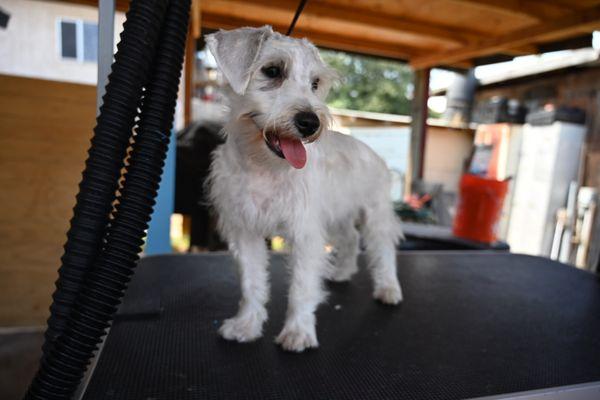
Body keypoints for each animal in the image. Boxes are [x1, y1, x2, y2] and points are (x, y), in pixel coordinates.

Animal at [205, 25, 404, 352]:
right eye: (273, 71)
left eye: (315, 83)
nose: (310, 123)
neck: (263, 167)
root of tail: (371, 151)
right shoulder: (245, 231)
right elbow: (251, 284)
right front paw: (246, 325)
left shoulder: (305, 235)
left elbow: (301, 288)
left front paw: (298, 333)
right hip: (338, 216)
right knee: (350, 240)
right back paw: (342, 272)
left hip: (375, 216)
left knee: (383, 249)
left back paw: (389, 288)